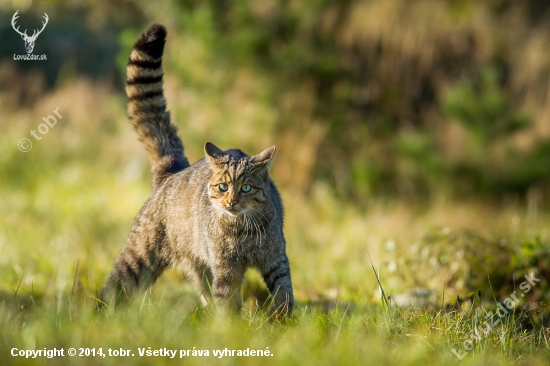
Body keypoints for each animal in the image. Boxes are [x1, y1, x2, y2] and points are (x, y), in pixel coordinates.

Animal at [101, 23, 296, 318]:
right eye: (223, 186)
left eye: (246, 187)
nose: (231, 202)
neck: (243, 229)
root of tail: (173, 170)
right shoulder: (225, 269)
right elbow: (227, 300)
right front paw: (231, 325)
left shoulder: (276, 259)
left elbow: (284, 290)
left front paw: (282, 317)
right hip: (140, 257)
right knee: (114, 286)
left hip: (197, 265)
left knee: (204, 292)